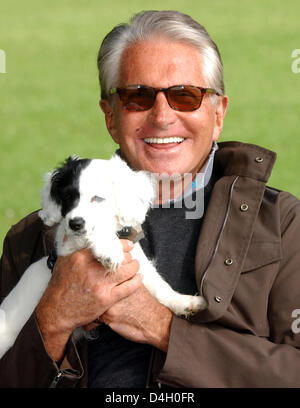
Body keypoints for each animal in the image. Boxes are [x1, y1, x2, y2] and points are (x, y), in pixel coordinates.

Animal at [0, 155, 206, 356]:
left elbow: (159, 285)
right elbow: (96, 233)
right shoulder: (70, 246)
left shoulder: (137, 263)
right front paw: (109, 249)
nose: (75, 223)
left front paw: (184, 302)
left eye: (97, 198)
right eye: (67, 196)